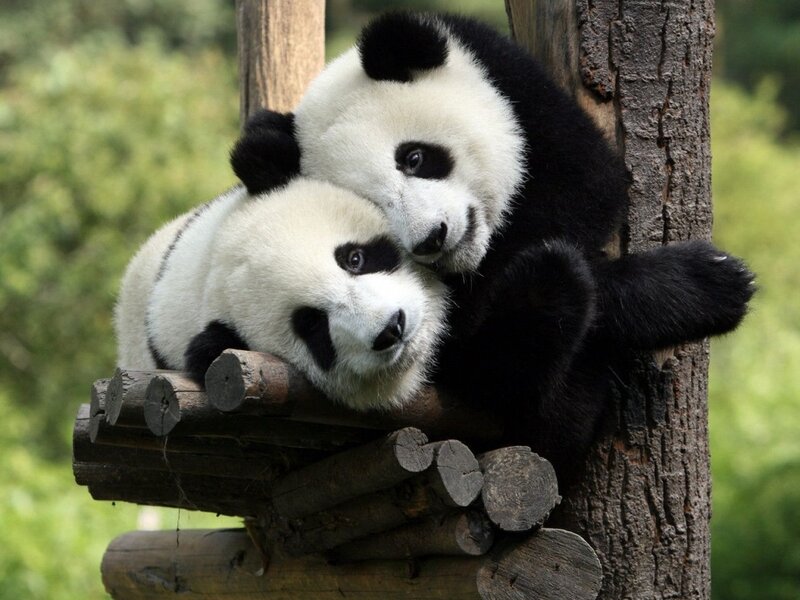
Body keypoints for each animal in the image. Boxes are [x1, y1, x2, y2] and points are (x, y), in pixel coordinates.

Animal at [230, 12, 755, 478]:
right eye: (374, 205)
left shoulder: (519, 93)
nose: (432, 238)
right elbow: (478, 348)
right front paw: (706, 285)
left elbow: (588, 187)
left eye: (414, 158)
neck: (480, 256)